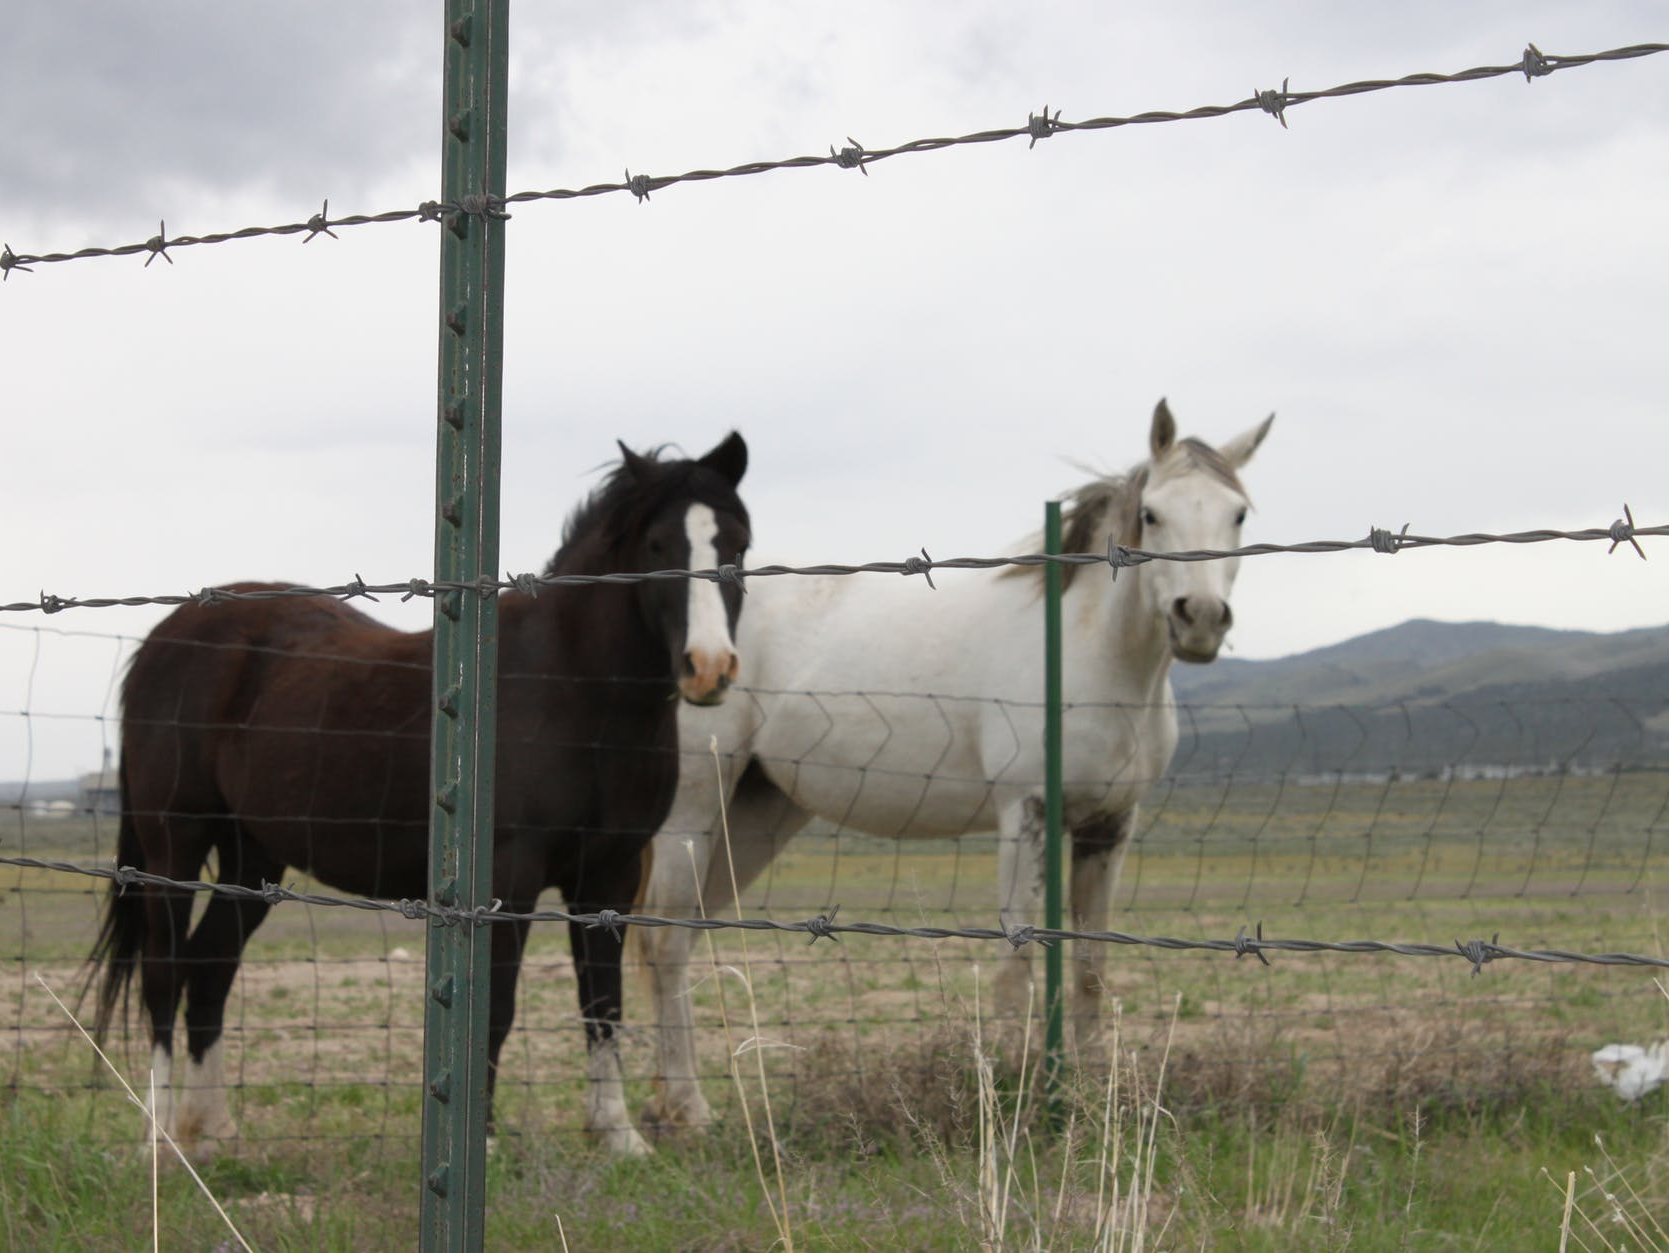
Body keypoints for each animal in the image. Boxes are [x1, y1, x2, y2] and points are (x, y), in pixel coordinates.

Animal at [88, 430, 747, 1154]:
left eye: (738, 544)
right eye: (657, 546)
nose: (707, 668)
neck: (574, 690)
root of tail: (164, 639)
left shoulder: (609, 876)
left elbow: (601, 1001)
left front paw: (616, 1132)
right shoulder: (509, 877)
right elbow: (496, 1006)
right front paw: (484, 1142)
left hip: (252, 854)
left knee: (209, 969)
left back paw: (210, 1130)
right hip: (173, 843)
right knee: (163, 972)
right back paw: (158, 1138)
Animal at [630, 403, 1268, 1134]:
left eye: (1238, 513)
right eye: (1153, 514)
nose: (1200, 619)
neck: (1093, 655)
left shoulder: (1109, 826)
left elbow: (1089, 967)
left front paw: (1085, 1093)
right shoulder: (1025, 813)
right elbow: (1016, 963)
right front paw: (1012, 1092)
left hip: (754, 813)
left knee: (681, 934)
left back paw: (665, 1101)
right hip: (693, 808)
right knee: (666, 940)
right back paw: (689, 1107)